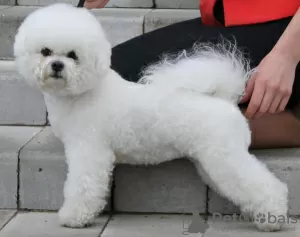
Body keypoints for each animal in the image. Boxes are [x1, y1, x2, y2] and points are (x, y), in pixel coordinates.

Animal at [14, 3, 288, 231]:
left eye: (73, 55)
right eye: (45, 51)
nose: (57, 66)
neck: (82, 94)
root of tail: (225, 100)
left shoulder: (89, 150)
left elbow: (83, 186)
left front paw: (73, 217)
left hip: (226, 157)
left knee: (264, 185)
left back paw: (272, 218)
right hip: (210, 160)